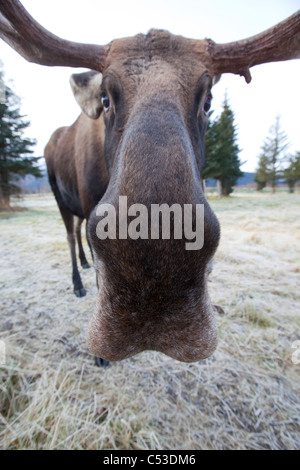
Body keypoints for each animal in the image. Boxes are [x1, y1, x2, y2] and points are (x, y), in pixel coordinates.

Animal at [1, 0, 298, 364]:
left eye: (208, 101)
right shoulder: (86, 199)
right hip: (60, 197)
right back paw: (77, 281)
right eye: (105, 99)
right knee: (71, 235)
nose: (156, 272)